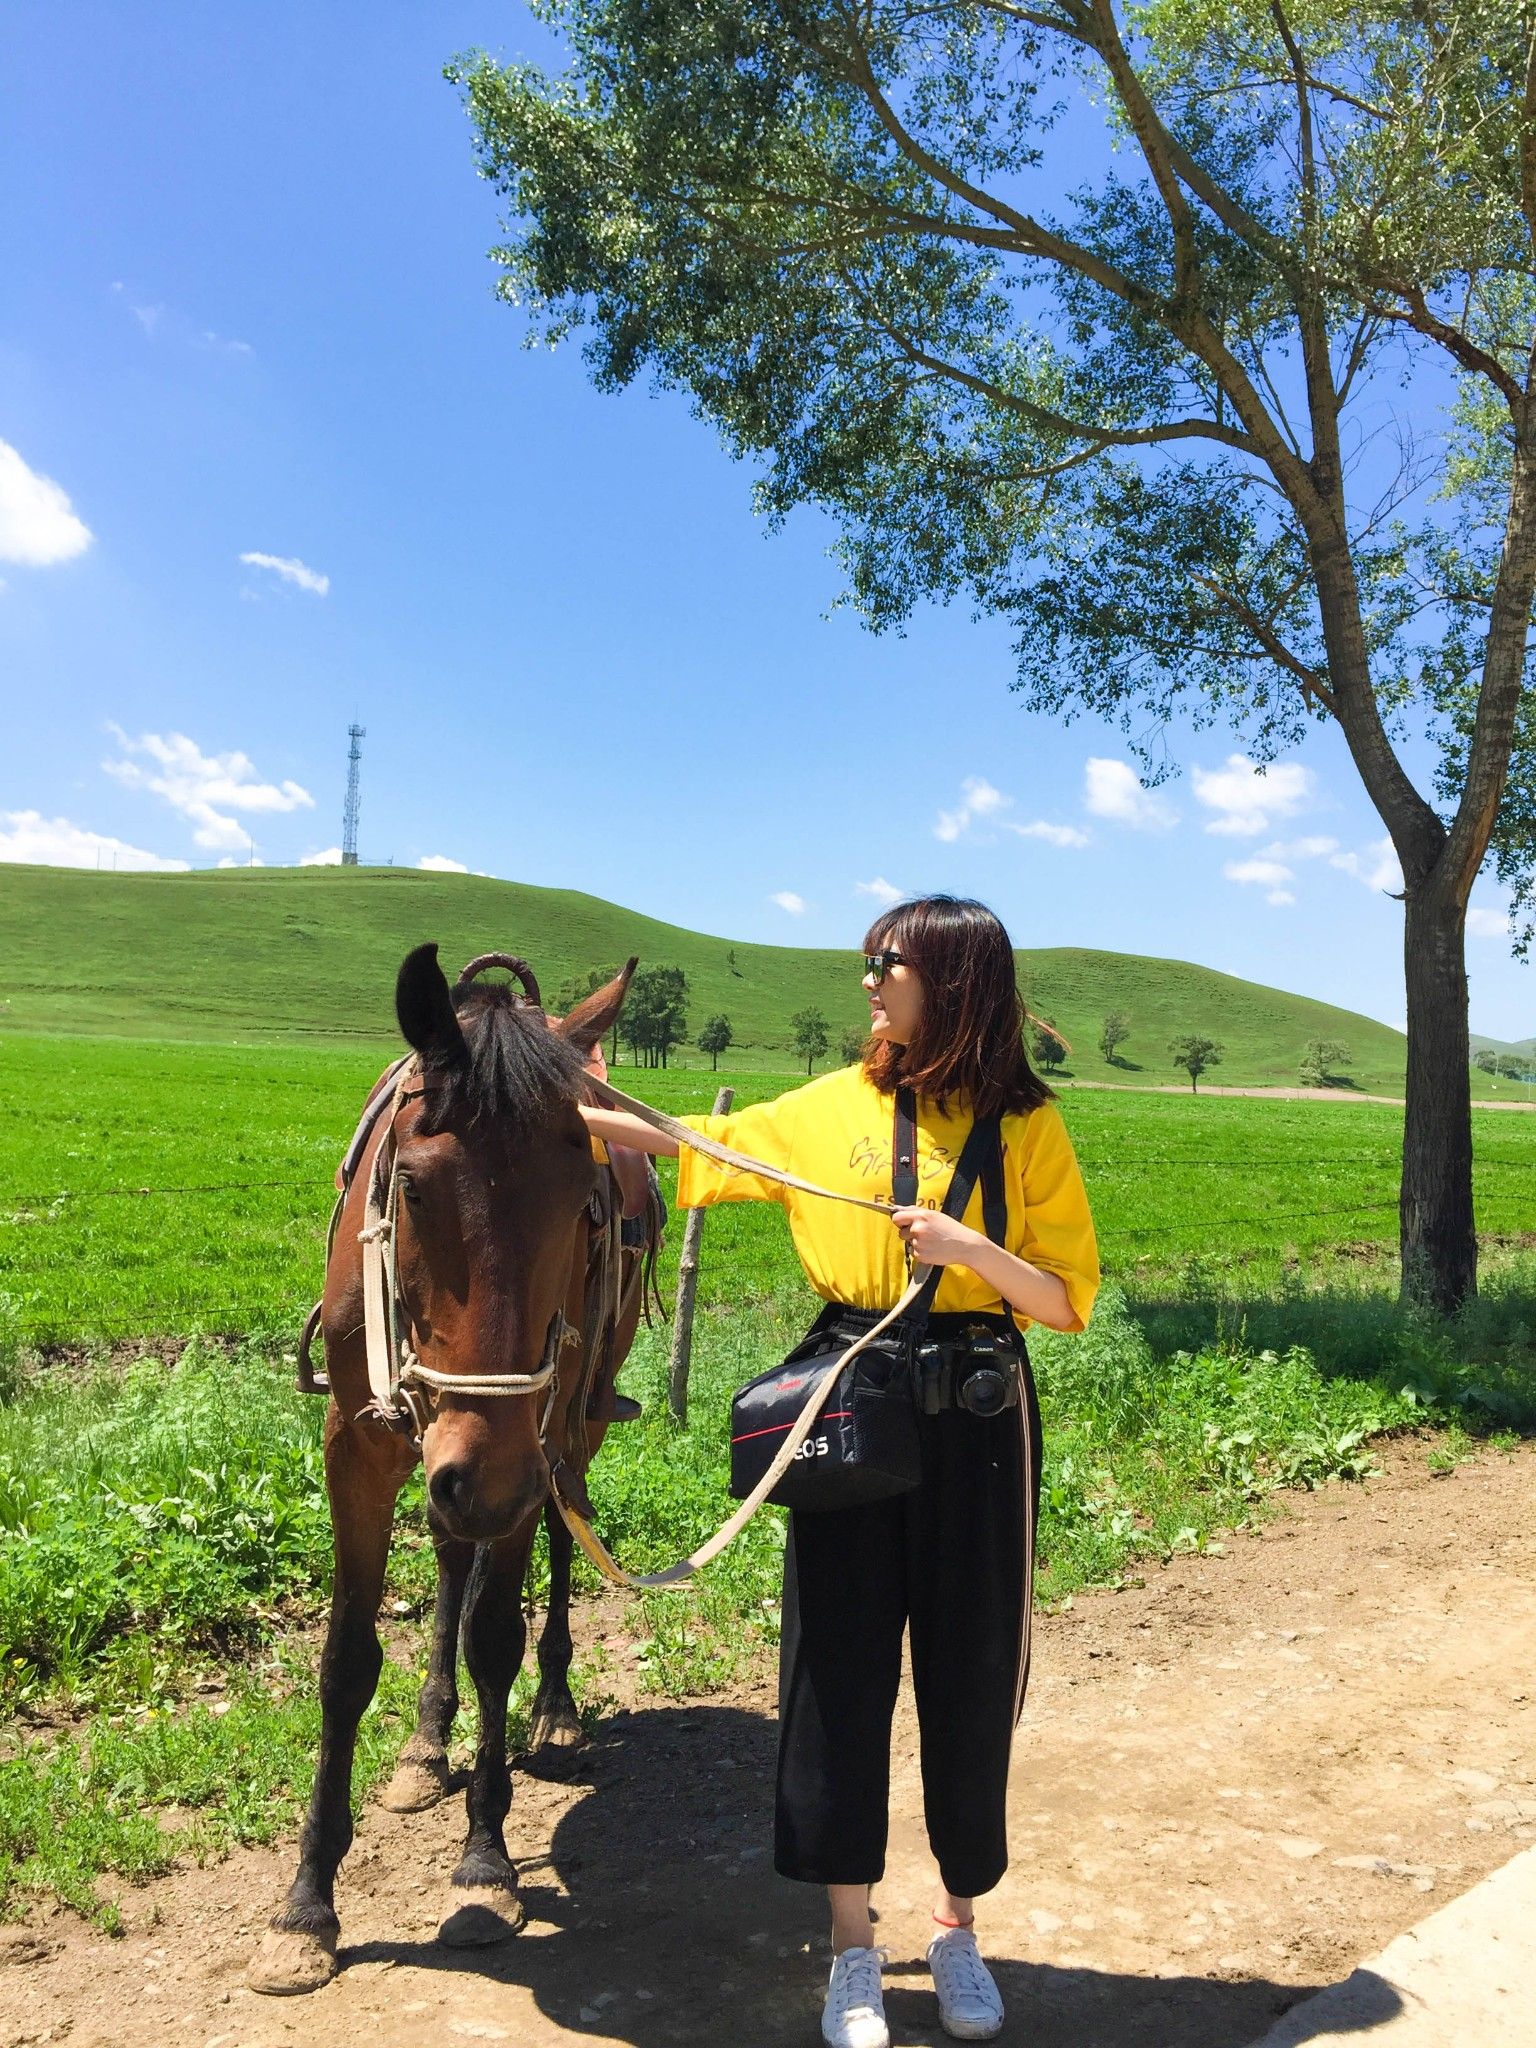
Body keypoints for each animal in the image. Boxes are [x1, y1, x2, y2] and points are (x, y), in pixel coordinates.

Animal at [249, 946, 647, 1998]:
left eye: (581, 1199)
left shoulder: (520, 1447)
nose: (488, 1478)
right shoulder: (358, 1450)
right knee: (451, 1556)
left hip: (566, 1434)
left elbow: (495, 1639)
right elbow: (347, 1662)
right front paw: (306, 1905)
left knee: (557, 1530)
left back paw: (553, 1708)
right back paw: (429, 1745)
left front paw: (485, 1861)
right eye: (417, 1188)